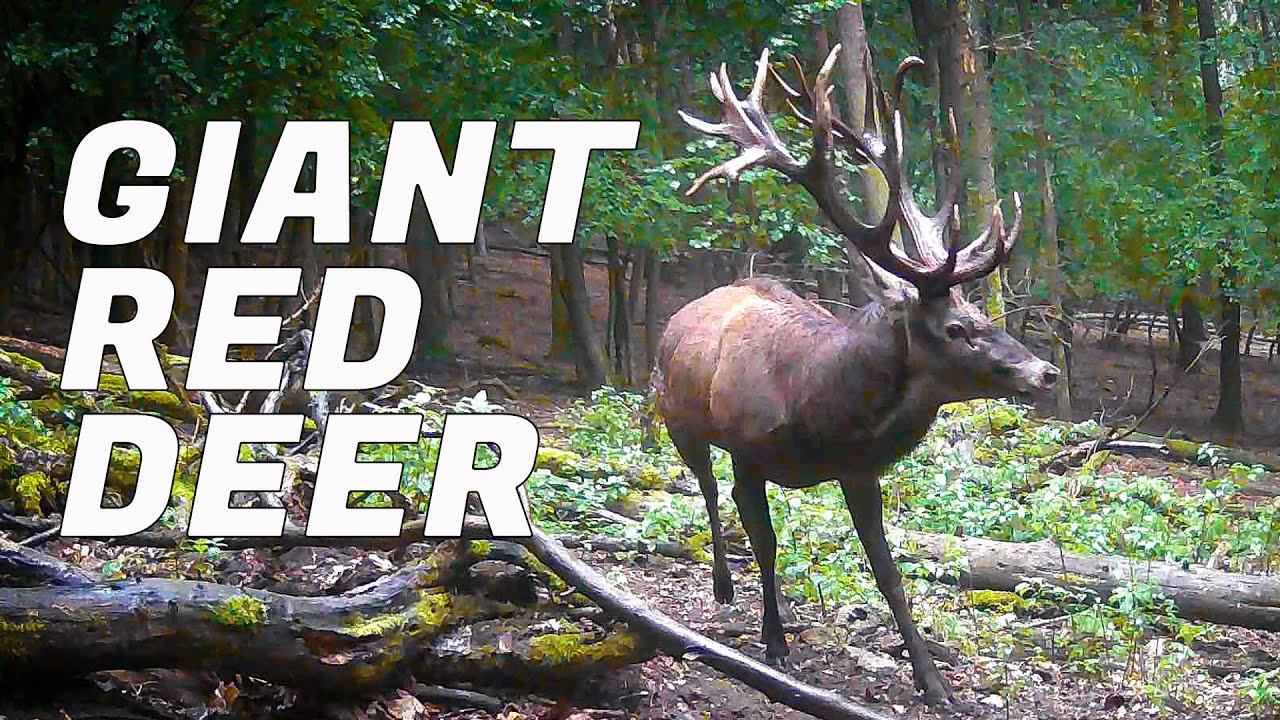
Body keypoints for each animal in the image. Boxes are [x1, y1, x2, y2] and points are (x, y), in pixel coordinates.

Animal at [651, 45, 1059, 705]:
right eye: (955, 328)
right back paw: (723, 586)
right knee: (708, 491)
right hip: (677, 417)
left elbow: (887, 571)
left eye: (979, 312)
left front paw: (932, 682)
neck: (817, 414)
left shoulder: (859, 470)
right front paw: (774, 643)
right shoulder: (747, 449)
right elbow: (764, 540)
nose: (1043, 372)